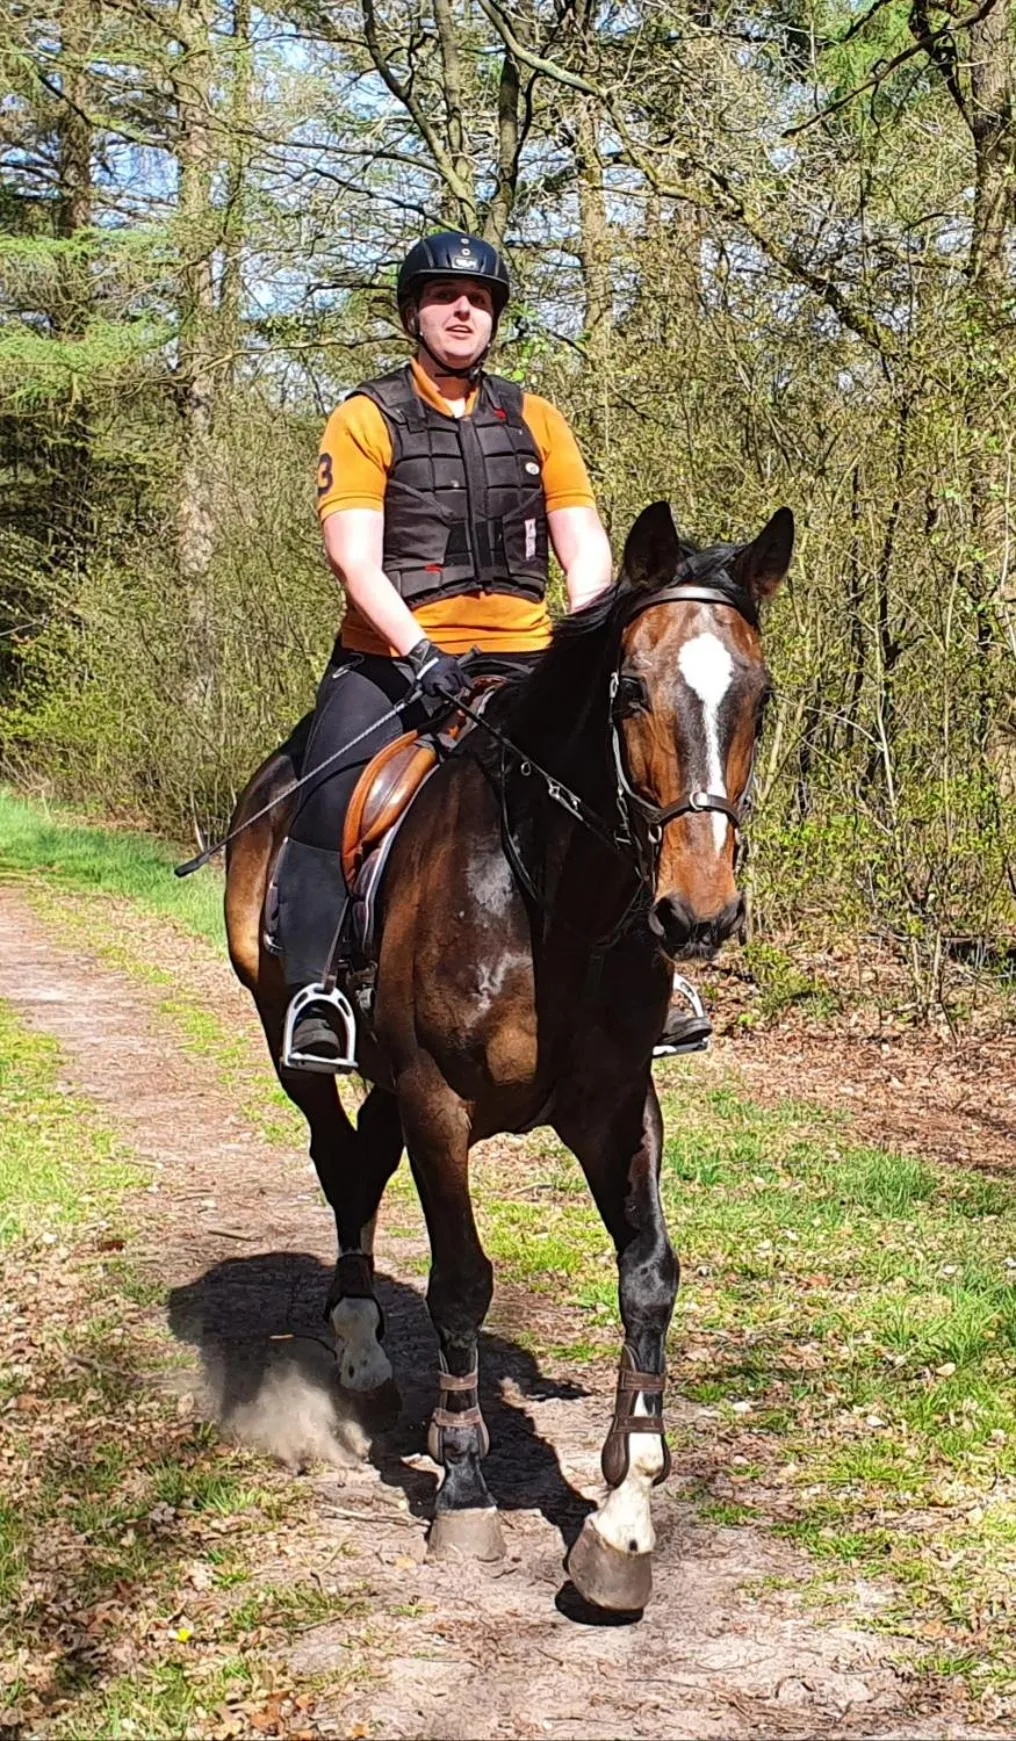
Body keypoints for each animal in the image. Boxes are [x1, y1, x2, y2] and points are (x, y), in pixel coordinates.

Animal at [224, 498, 793, 1610]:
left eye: (757, 695)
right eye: (629, 691)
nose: (697, 913)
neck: (549, 898)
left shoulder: (617, 1105)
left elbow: (648, 1275)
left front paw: (623, 1514)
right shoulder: (440, 1103)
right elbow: (460, 1282)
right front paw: (464, 1482)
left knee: (363, 1161)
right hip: (296, 1042)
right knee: (339, 1164)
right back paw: (359, 1354)